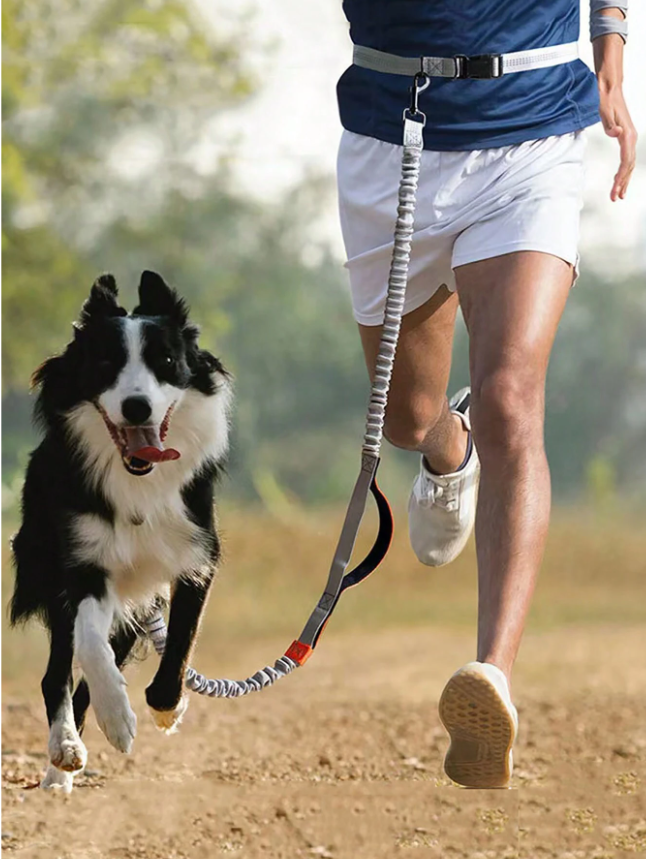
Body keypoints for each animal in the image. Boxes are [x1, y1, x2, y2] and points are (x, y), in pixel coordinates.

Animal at [11, 272, 232, 796]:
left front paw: (167, 707)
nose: (136, 407)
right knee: (58, 672)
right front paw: (117, 718)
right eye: (106, 364)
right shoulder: (84, 562)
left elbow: (181, 641)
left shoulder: (196, 556)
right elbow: (91, 645)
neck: (138, 483)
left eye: (166, 361)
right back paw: (63, 756)